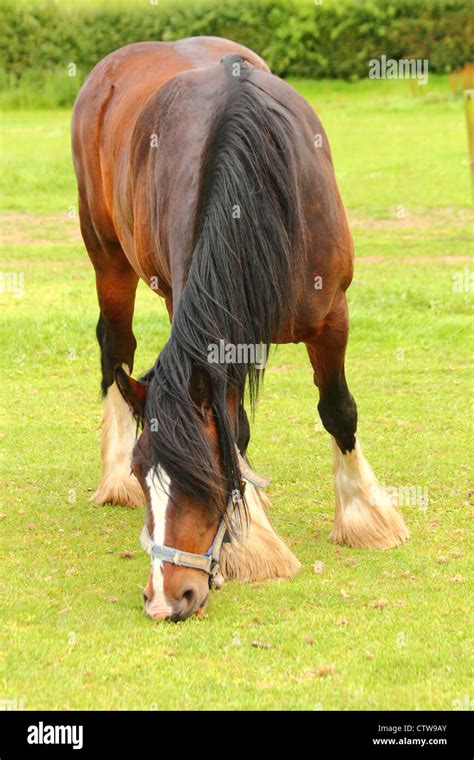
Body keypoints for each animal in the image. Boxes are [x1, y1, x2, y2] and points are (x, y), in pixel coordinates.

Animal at [72, 37, 410, 624]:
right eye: (142, 473)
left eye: (204, 479)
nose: (166, 599)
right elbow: (238, 428)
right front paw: (253, 543)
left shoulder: (332, 315)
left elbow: (338, 410)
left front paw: (364, 517)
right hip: (108, 256)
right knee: (117, 347)